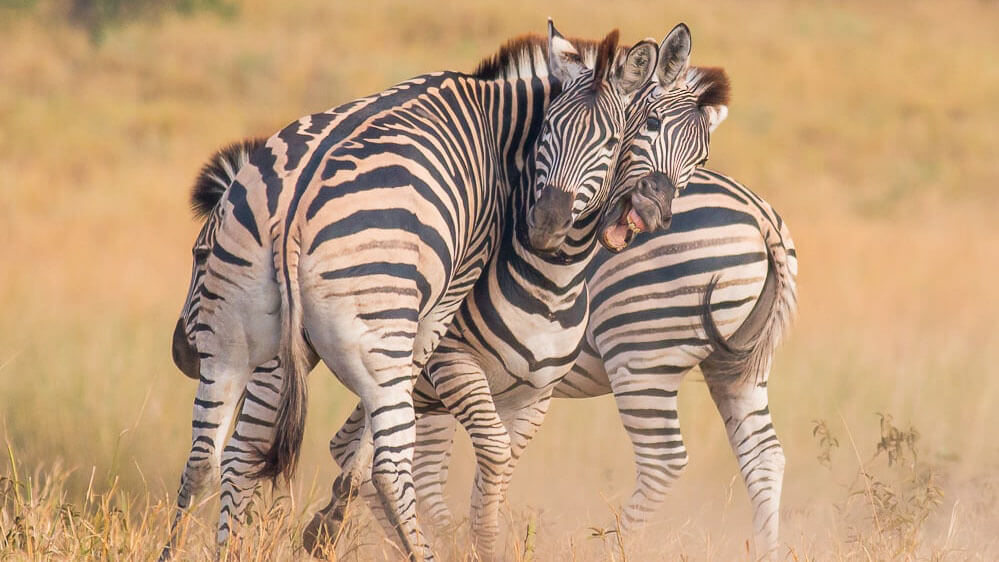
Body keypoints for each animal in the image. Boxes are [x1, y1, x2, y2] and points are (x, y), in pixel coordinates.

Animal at [166, 19, 672, 556]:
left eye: (612, 141)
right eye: (549, 132)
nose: (548, 223)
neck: (502, 129)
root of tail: (293, 206)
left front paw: (332, 511)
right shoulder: (452, 287)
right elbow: (410, 389)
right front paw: (336, 511)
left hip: (237, 341)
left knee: (211, 457)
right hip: (375, 326)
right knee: (391, 467)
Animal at [328, 24, 736, 556]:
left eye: (700, 157)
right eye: (648, 124)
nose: (652, 212)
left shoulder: (519, 391)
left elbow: (484, 478)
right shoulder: (449, 366)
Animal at [404, 168, 796, 556]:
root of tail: (758, 212)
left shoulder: (444, 360)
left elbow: (423, 477)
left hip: (641, 354)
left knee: (663, 460)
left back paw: (611, 549)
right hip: (739, 368)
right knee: (765, 457)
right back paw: (765, 551)